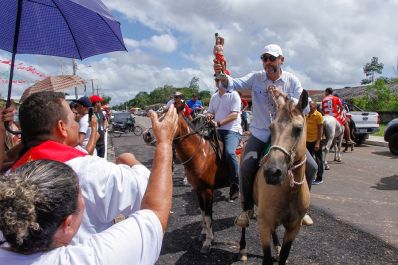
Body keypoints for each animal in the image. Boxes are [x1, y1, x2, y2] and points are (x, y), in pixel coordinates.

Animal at [142, 101, 233, 252]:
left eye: (169, 117)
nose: (146, 135)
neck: (201, 155)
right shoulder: (198, 189)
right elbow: (202, 213)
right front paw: (203, 233)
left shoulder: (208, 190)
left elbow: (208, 215)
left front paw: (208, 241)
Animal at [238, 89, 310, 264]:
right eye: (271, 128)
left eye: (298, 128)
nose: (272, 172)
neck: (289, 191)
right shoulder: (264, 225)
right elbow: (266, 259)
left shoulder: (293, 228)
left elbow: (284, 256)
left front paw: (279, 250)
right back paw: (242, 249)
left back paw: (276, 246)